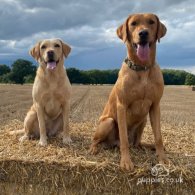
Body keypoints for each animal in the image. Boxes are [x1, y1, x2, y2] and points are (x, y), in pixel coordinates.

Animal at [90, 12, 168, 170]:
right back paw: (94, 149)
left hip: (143, 120)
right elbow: (124, 139)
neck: (142, 68)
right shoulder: (122, 105)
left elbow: (158, 137)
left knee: (137, 143)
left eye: (151, 22)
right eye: (133, 23)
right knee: (96, 140)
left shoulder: (155, 106)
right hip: (108, 122)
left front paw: (162, 157)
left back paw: (145, 146)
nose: (143, 33)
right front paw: (126, 161)